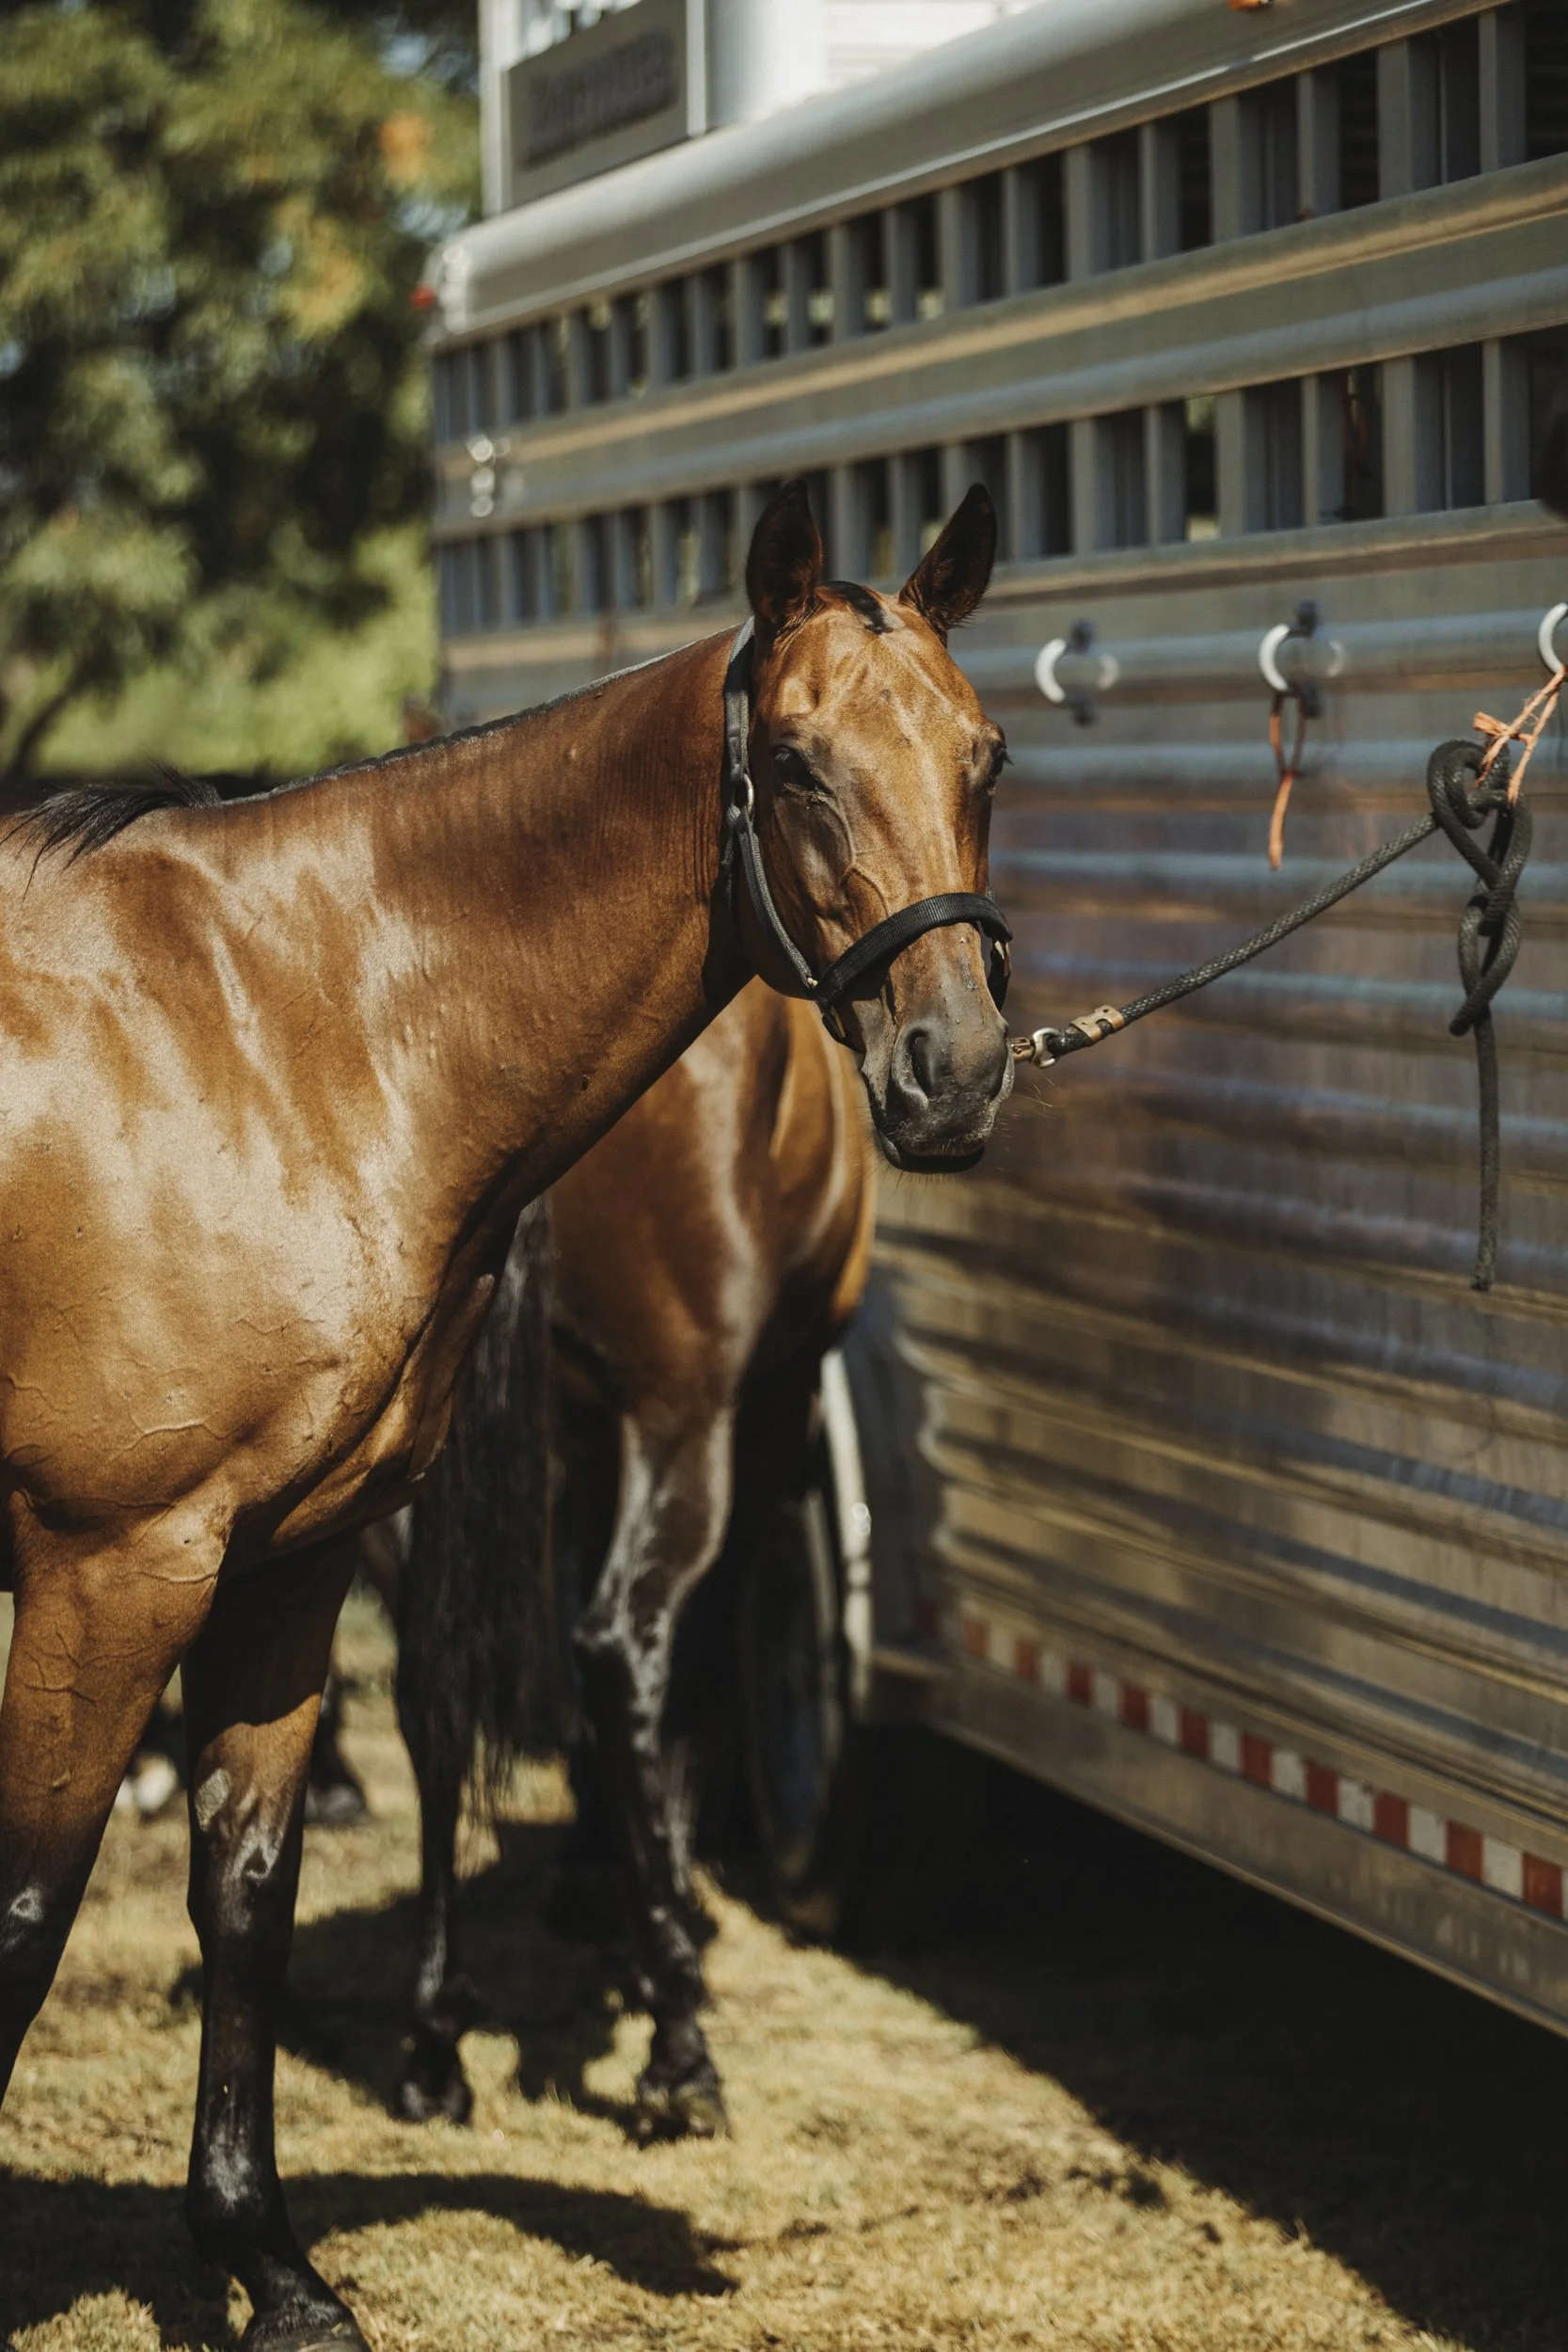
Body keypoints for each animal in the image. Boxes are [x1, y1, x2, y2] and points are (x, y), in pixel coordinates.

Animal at [371, 974, 873, 2146]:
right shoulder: (765, 1402)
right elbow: (696, 1656)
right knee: (624, 1645)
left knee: (430, 1681)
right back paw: (679, 2048)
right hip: (687, 1417)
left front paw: (596, 1864)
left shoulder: (579, 1436)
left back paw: (433, 2045)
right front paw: (658, 1911)